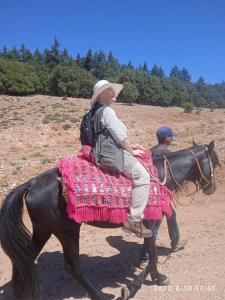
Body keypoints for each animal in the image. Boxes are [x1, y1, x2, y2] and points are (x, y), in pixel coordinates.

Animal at [0, 141, 220, 300]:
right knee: (72, 266)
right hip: (67, 232)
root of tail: (32, 183)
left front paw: (151, 275)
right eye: (216, 161)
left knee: (25, 259)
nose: (212, 188)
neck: (159, 175)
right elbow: (154, 255)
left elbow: (150, 251)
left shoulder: (149, 226)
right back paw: (99, 295)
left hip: (43, 229)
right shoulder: (151, 223)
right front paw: (143, 283)